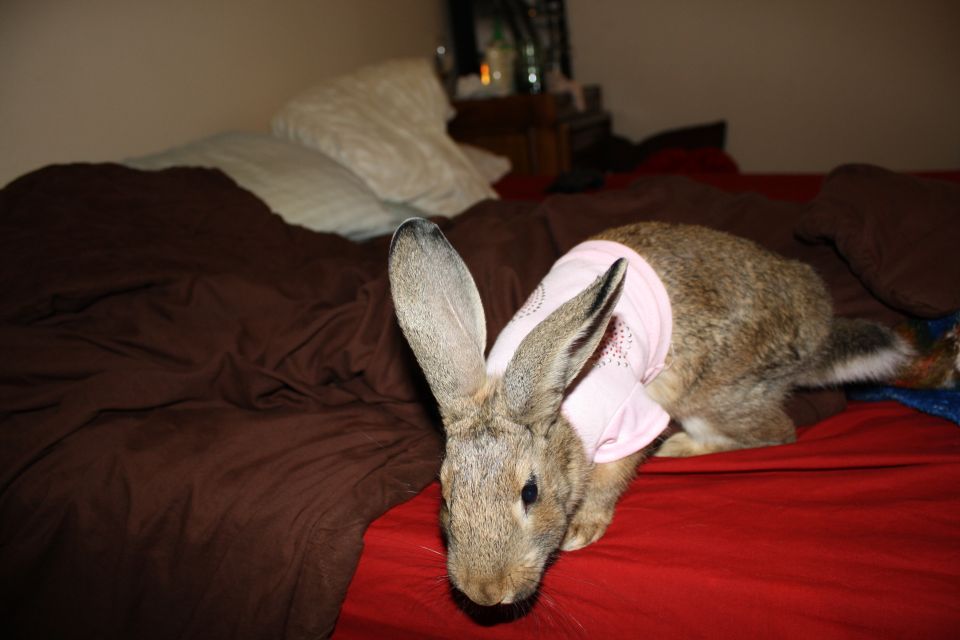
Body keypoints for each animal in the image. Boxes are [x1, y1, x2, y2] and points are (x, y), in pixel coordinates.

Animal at [388, 217, 911, 608]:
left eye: (530, 493)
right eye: (446, 497)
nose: (486, 592)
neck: (548, 398)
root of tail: (818, 332)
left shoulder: (629, 421)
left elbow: (611, 478)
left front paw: (583, 528)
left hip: (703, 396)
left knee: (778, 430)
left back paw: (681, 448)